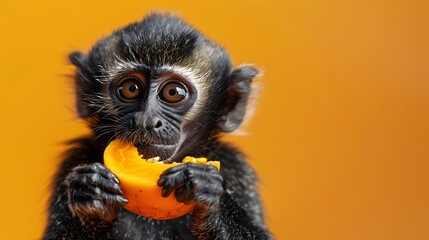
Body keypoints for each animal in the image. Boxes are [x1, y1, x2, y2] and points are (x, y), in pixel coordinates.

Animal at [42, 13, 270, 240]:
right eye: (131, 88)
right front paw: (90, 195)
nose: (146, 120)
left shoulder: (236, 168)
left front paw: (208, 193)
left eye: (173, 92)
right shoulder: (74, 159)